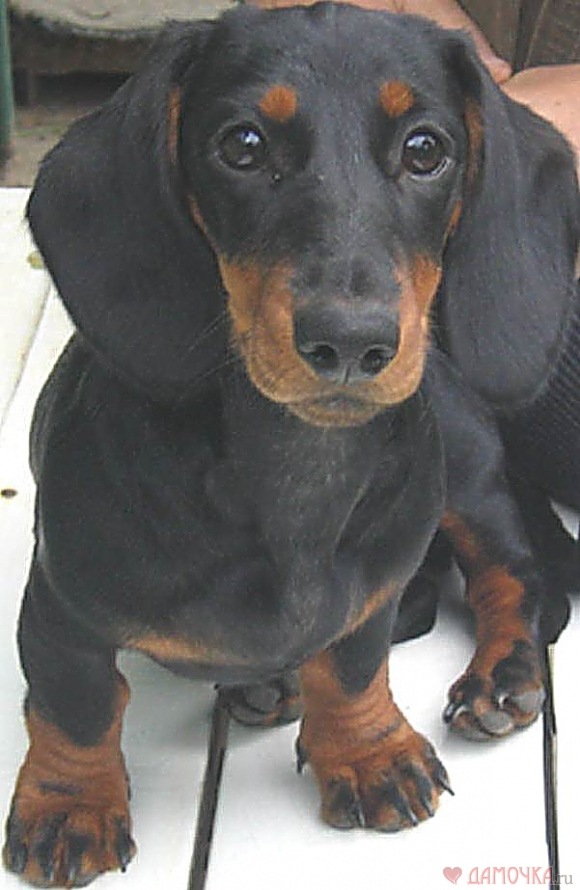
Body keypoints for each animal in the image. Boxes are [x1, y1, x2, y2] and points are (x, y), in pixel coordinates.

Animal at [3, 4, 577, 886]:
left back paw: (502, 675)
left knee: (513, 574)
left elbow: (353, 662)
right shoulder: (62, 608)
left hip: (466, 470)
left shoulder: (372, 588)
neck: (295, 474)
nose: (352, 342)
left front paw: (369, 753)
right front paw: (70, 805)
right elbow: (77, 708)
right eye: (241, 144)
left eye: (426, 149)